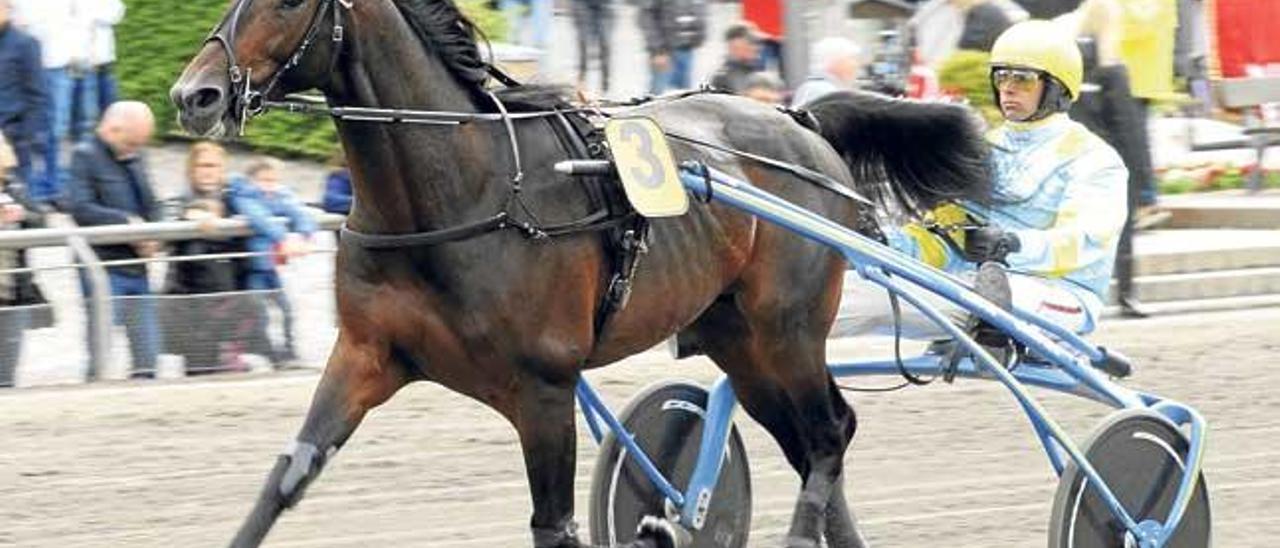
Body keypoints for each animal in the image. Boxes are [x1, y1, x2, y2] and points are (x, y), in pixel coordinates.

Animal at [170, 2, 988, 545]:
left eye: (287, 1)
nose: (193, 95)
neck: (464, 186)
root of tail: (800, 122)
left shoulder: (544, 388)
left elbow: (553, 523)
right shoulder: (367, 354)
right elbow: (285, 480)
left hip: (785, 331)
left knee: (827, 436)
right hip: (739, 342)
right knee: (818, 440)